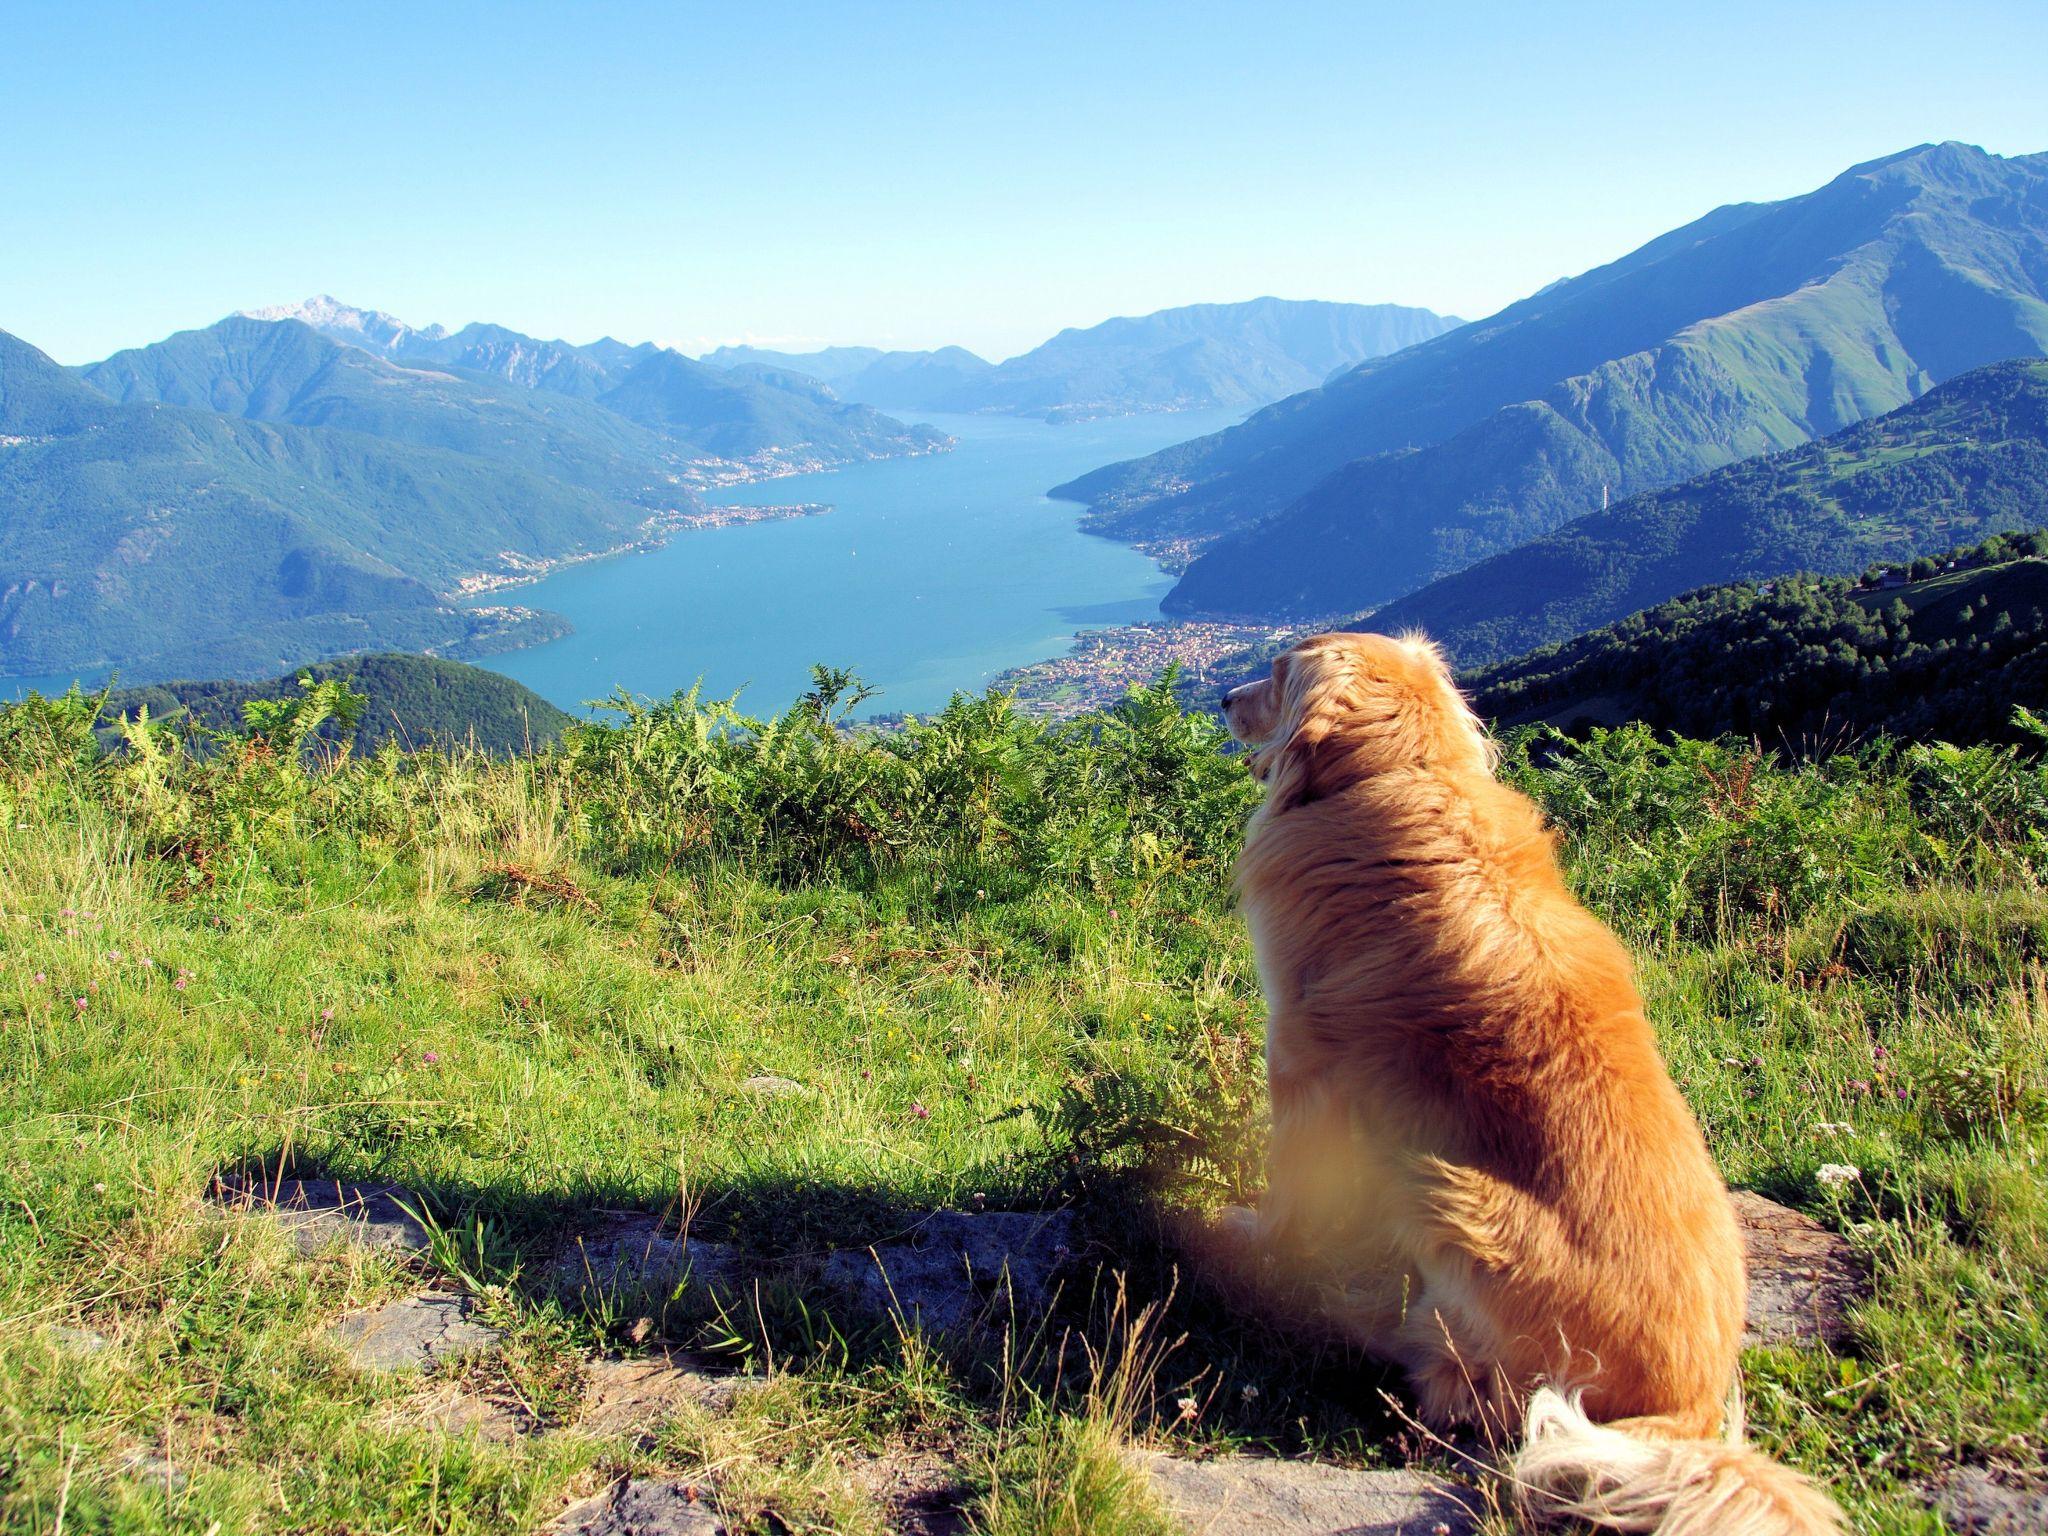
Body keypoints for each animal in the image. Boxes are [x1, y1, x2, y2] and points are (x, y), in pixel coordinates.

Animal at [1212, 634, 1843, 1536]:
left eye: (1272, 674)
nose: (1222, 700)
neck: (1407, 769)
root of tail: (1684, 1409)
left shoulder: (1299, 1055)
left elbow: (1289, 1186)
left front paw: (1259, 1236)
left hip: (1439, 1187)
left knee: (1480, 1397)